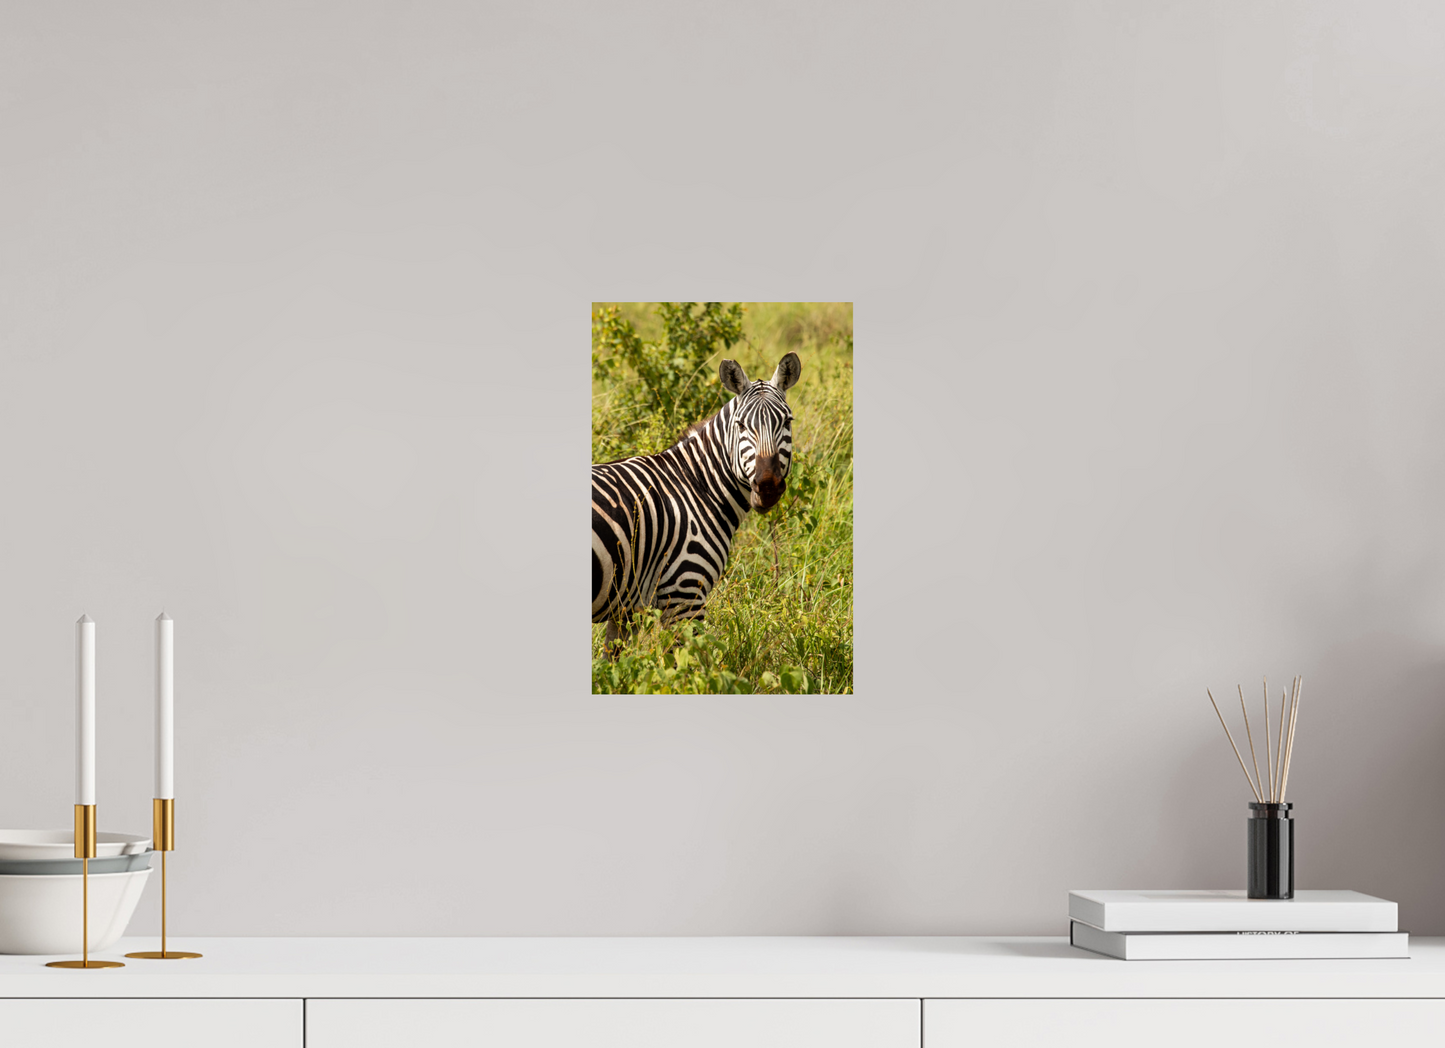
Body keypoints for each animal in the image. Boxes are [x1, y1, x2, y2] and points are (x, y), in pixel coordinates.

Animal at [592, 352, 802, 647]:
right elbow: (690, 659)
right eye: (741, 425)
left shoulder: (625, 609)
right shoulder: (685, 593)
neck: (695, 484)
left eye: (787, 422)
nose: (768, 487)